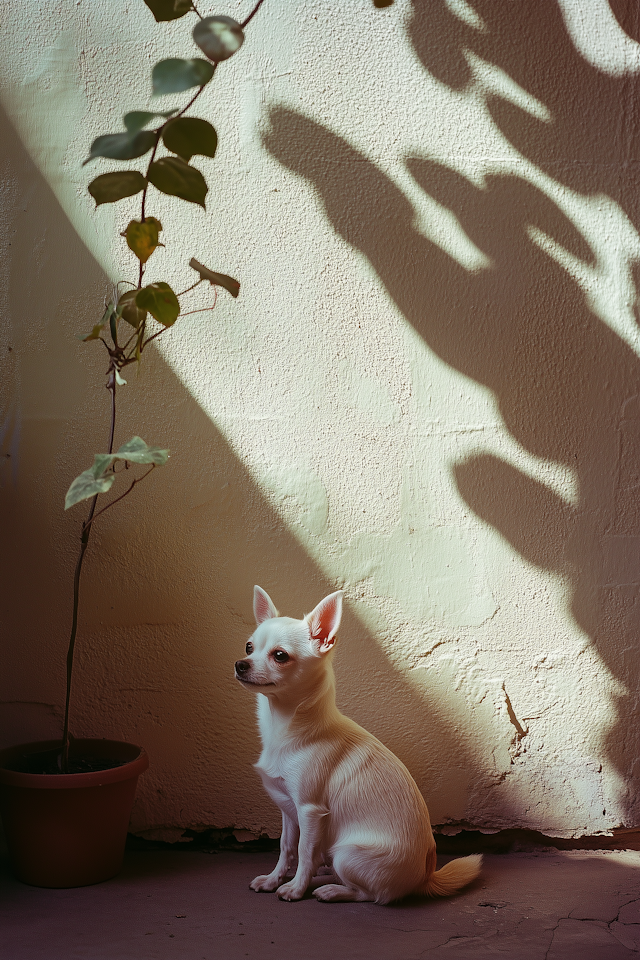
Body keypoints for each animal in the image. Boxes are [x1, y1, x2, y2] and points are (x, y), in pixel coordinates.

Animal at [234, 580, 480, 904]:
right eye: (249, 647)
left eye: (280, 656)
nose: (240, 664)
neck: (284, 725)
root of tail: (425, 878)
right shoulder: (289, 810)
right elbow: (286, 848)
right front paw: (274, 879)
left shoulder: (310, 811)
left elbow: (303, 851)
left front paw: (295, 889)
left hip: (346, 853)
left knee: (371, 895)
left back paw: (331, 890)